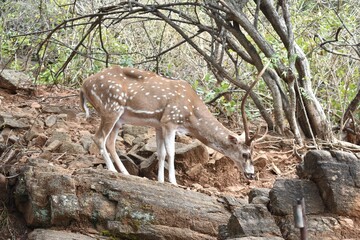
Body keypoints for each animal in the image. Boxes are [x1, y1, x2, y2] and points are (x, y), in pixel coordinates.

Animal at [81, 66, 256, 186]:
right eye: (245, 154)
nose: (251, 174)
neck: (191, 114)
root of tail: (84, 85)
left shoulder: (159, 125)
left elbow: (161, 153)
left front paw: (160, 180)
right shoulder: (170, 120)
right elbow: (172, 153)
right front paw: (173, 181)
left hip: (118, 118)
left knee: (110, 142)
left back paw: (125, 173)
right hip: (111, 107)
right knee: (99, 138)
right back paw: (111, 170)